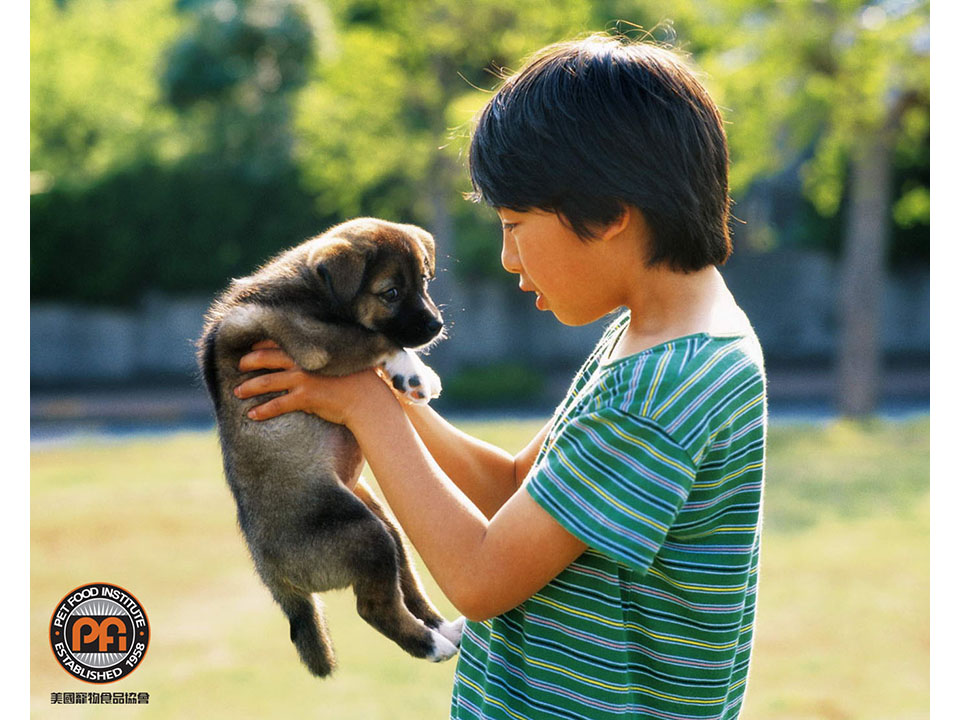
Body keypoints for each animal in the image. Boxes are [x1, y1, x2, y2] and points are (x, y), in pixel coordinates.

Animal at [197, 217, 460, 676]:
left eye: (425, 282)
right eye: (391, 293)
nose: (435, 327)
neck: (310, 291)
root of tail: (272, 574)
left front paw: (410, 376)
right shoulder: (316, 342)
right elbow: (374, 338)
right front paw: (415, 371)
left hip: (383, 527)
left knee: (404, 586)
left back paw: (445, 629)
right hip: (364, 534)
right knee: (374, 609)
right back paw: (431, 645)